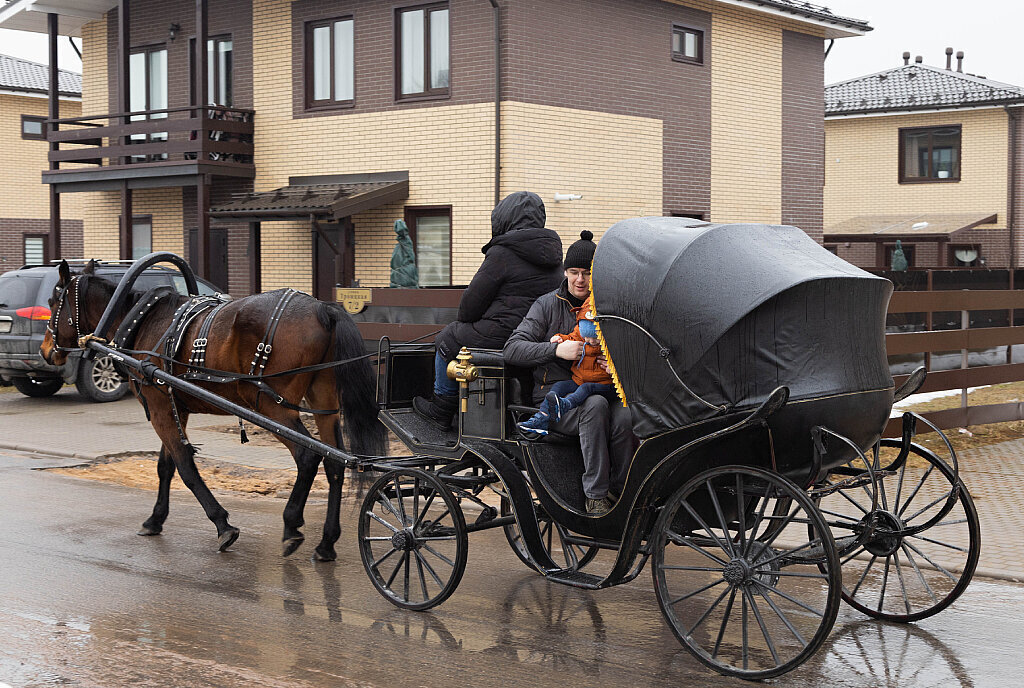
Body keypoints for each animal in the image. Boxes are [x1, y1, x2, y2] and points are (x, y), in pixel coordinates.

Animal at [38, 258, 385, 556]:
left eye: (54, 302)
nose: (45, 350)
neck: (142, 322)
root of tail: (323, 310)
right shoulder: (176, 407)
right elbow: (165, 466)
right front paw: (155, 519)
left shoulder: (159, 406)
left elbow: (185, 467)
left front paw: (223, 525)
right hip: (324, 402)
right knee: (335, 463)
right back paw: (326, 543)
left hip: (272, 406)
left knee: (308, 456)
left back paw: (291, 525)